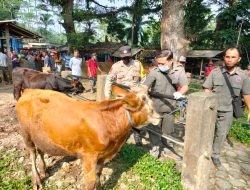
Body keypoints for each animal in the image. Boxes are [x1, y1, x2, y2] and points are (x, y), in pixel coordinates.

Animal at [16, 87, 160, 190]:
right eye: (143, 104)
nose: (160, 117)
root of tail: (30, 90)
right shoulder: (88, 157)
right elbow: (90, 183)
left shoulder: (103, 155)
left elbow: (99, 174)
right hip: (25, 133)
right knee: (32, 154)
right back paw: (36, 181)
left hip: (39, 135)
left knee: (40, 150)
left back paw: (44, 169)